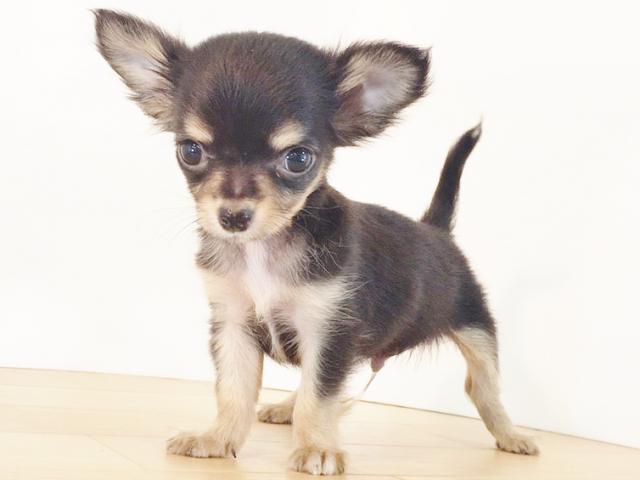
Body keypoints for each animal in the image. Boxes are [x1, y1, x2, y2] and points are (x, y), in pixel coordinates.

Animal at [94, 9, 539, 475]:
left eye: (297, 159)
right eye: (191, 151)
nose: (233, 216)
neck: (265, 249)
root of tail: (436, 229)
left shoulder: (327, 331)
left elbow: (319, 395)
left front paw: (317, 448)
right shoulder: (235, 324)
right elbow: (234, 392)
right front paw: (217, 438)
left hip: (476, 327)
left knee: (482, 387)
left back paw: (511, 435)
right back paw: (284, 408)